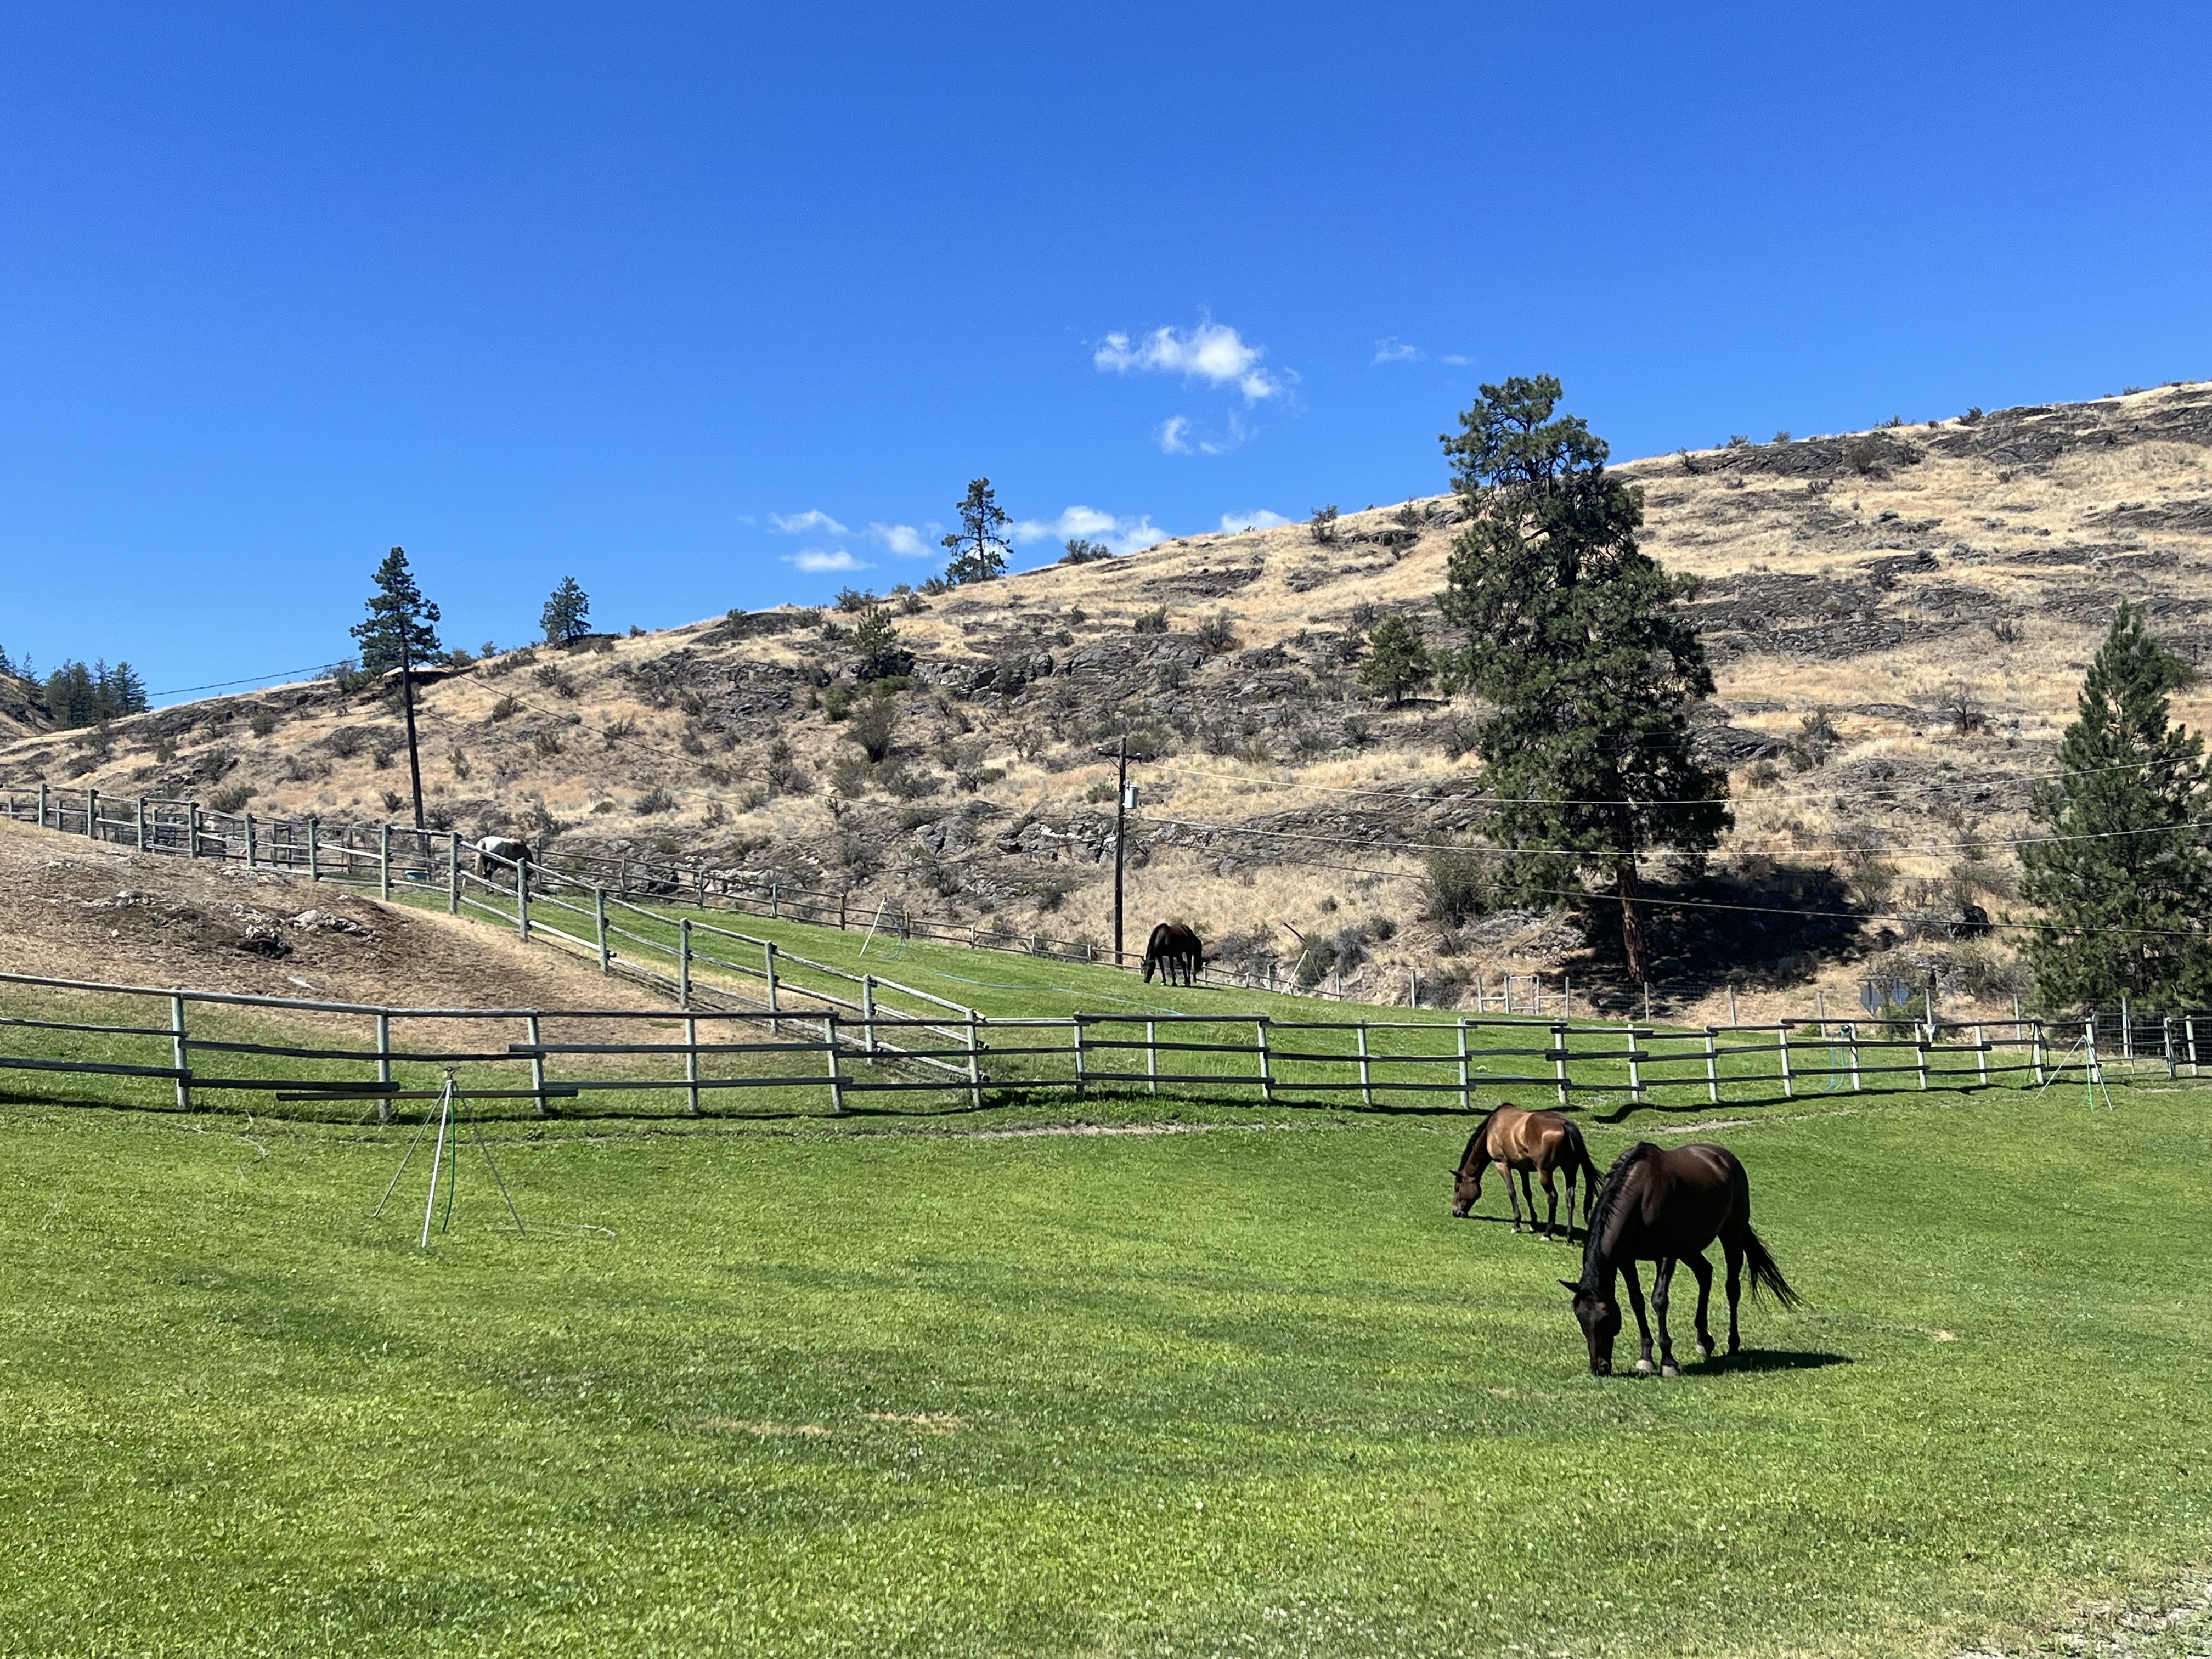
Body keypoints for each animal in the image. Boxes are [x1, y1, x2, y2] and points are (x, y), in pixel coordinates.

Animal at [1141, 924, 1212, 986]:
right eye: (1144, 968)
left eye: (1150, 969)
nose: (1146, 980)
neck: (1163, 938)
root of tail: (1189, 932)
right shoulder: (1159, 956)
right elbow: (1162, 968)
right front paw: (1164, 982)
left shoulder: (1171, 955)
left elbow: (1172, 968)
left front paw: (1174, 983)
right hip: (1178, 954)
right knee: (1183, 965)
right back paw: (1185, 981)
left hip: (1188, 953)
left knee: (1188, 966)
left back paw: (1188, 982)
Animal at [1442, 1110, 1601, 1238]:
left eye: (1457, 1188)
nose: (1455, 1211)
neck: (1493, 1128)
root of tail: (1565, 1124)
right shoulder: (1523, 1169)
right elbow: (1527, 1193)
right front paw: (1533, 1223)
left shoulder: (1502, 1164)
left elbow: (1512, 1191)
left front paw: (1517, 1224)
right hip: (1570, 1171)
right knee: (1570, 1198)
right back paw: (1569, 1237)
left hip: (1545, 1173)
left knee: (1552, 1197)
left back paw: (1547, 1233)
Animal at [1575, 1141, 1796, 1380]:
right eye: (1581, 1319)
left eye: (1605, 1319)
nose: (1599, 1367)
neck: (1641, 1194)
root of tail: (1726, 1158)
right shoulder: (1626, 1260)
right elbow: (1637, 1301)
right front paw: (1646, 1357)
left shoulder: (1667, 1255)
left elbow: (1659, 1301)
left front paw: (1668, 1361)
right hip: (1690, 1248)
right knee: (1705, 1273)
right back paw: (1704, 1340)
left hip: (1732, 1234)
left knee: (1732, 1289)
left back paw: (1733, 1348)